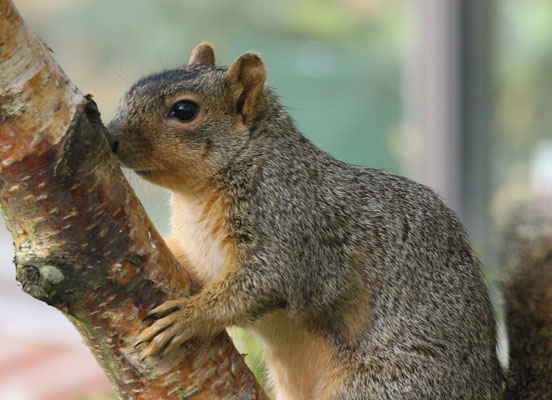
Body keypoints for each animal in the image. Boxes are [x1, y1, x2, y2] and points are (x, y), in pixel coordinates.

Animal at [105, 42, 548, 398]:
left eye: (184, 110)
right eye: (131, 91)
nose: (110, 137)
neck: (196, 197)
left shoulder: (293, 224)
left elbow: (262, 282)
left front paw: (190, 315)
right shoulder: (193, 250)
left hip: (382, 386)